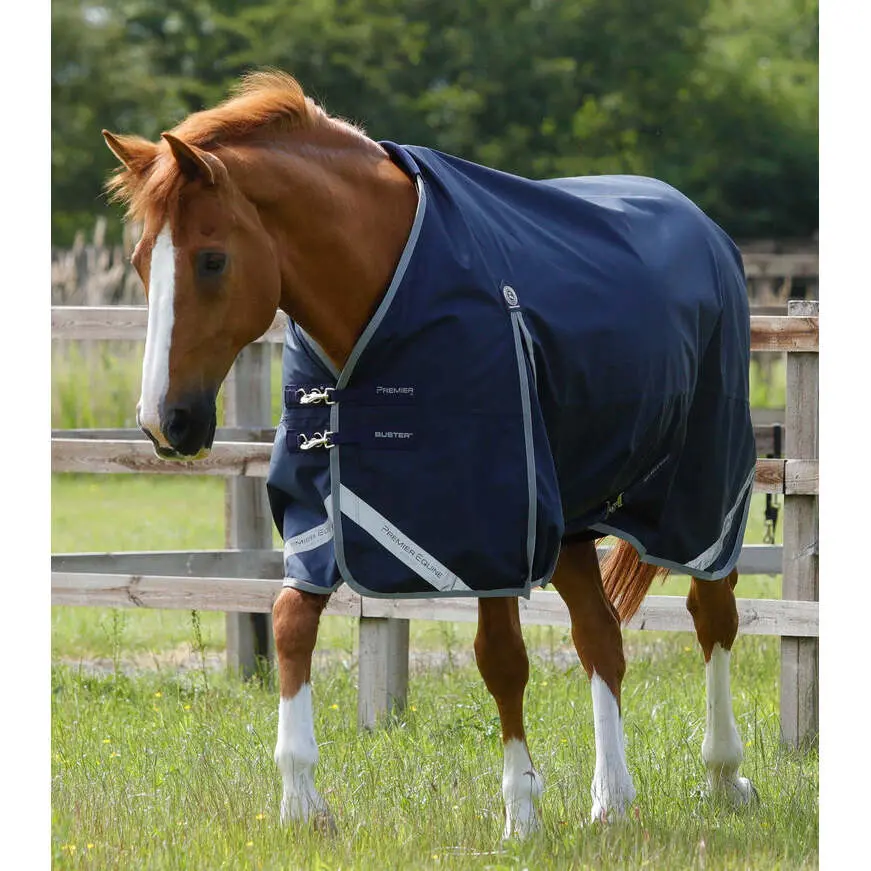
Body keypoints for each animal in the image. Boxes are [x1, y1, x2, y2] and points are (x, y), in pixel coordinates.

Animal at [102, 70, 758, 837]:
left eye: (211, 260)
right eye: (141, 262)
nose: (164, 422)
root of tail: (707, 230)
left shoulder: (489, 525)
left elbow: (501, 660)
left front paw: (520, 814)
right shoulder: (326, 512)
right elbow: (291, 623)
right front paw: (301, 802)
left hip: (702, 495)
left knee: (711, 613)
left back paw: (723, 775)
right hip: (567, 521)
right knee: (601, 639)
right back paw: (611, 800)